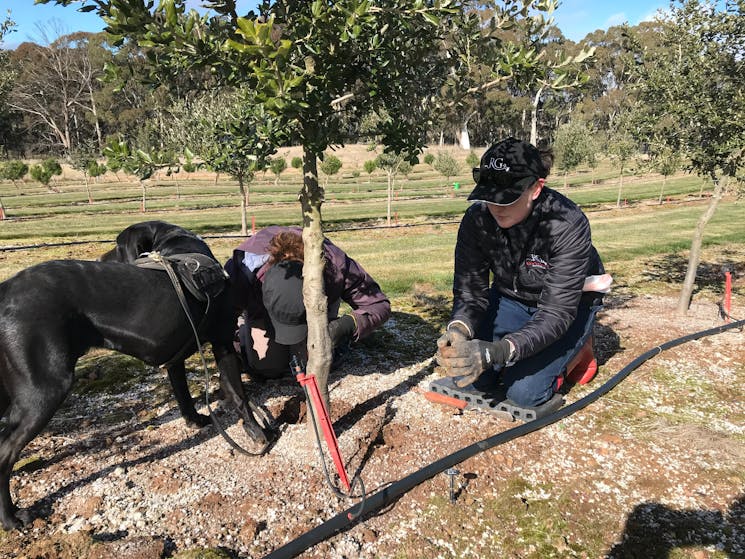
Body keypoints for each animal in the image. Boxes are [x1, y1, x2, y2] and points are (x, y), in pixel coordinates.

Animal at [0, 221, 268, 532]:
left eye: (117, 247)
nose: (100, 259)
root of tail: (6, 289)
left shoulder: (177, 356)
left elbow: (183, 394)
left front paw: (195, 421)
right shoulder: (223, 343)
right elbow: (238, 395)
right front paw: (258, 434)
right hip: (44, 391)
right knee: (4, 454)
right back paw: (10, 518)